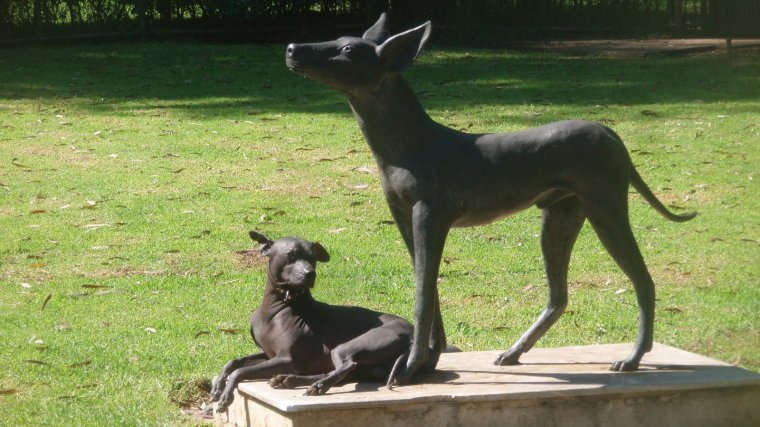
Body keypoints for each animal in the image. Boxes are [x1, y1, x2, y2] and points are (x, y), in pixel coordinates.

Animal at [211, 232, 412, 412]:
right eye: (291, 255)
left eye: (313, 258)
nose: (310, 273)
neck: (276, 307)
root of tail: (412, 330)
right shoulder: (268, 354)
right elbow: (233, 362)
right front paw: (218, 385)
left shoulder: (286, 359)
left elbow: (240, 371)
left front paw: (226, 395)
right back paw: (289, 380)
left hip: (349, 347)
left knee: (347, 365)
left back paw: (318, 386)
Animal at [284, 15, 696, 386]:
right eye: (340, 40)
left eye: (348, 50)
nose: (292, 49)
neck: (414, 145)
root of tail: (612, 134)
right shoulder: (406, 219)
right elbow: (429, 290)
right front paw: (428, 362)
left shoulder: (429, 219)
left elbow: (422, 296)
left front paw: (410, 366)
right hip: (561, 213)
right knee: (559, 296)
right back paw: (514, 351)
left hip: (605, 206)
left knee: (643, 282)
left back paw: (633, 358)